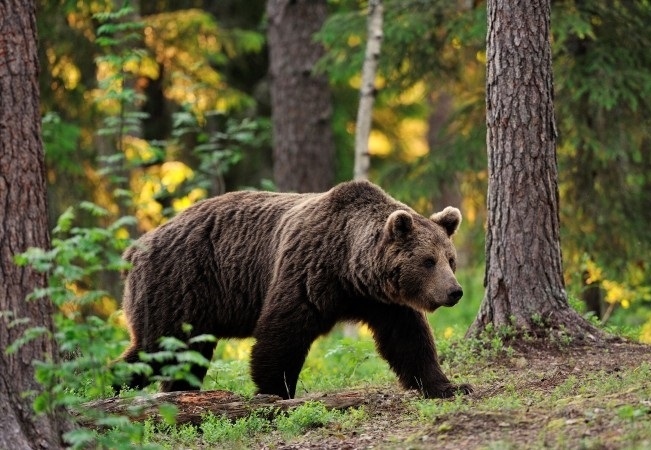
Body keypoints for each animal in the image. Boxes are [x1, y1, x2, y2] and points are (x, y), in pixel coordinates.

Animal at [118, 179, 474, 398]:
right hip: (179, 285)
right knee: (156, 348)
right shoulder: (307, 271)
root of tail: (136, 247)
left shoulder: (384, 301)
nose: (454, 291)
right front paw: (275, 391)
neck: (350, 268)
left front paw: (449, 386)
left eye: (450, 260)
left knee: (184, 356)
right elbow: (282, 333)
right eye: (428, 261)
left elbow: (409, 341)